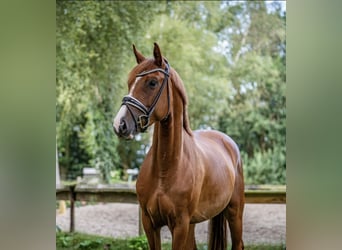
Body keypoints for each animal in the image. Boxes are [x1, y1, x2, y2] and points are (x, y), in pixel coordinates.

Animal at [113, 43, 244, 250]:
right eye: (130, 82)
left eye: (152, 83)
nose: (120, 124)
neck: (165, 169)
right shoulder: (150, 223)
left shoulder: (180, 224)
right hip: (194, 223)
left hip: (235, 212)